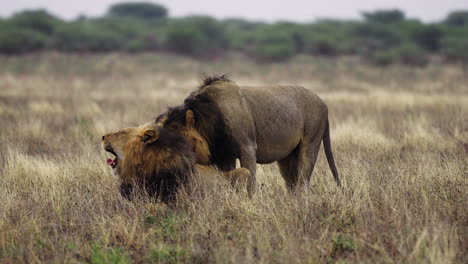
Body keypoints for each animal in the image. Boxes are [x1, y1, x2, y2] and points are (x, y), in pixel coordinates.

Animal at [160, 75, 340, 195]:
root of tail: (324, 104)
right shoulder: (225, 155)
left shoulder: (247, 147)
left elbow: (250, 179)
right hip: (287, 156)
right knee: (291, 182)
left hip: (311, 141)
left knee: (303, 178)